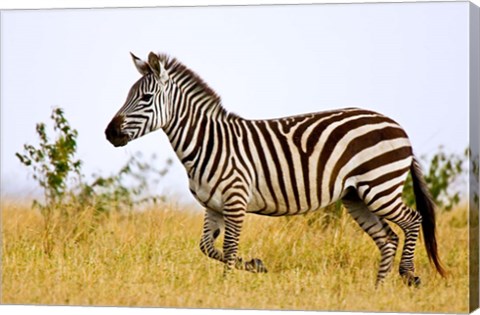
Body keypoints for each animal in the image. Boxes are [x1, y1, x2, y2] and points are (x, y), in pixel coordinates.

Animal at [105, 51, 446, 286]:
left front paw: (226, 288)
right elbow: (207, 247)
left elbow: (228, 248)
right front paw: (255, 265)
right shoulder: (212, 205)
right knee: (388, 238)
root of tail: (398, 126)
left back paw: (409, 274)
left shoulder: (235, 200)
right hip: (356, 197)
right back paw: (378, 289)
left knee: (413, 220)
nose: (110, 133)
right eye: (128, 96)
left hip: (380, 186)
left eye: (145, 98)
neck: (208, 141)